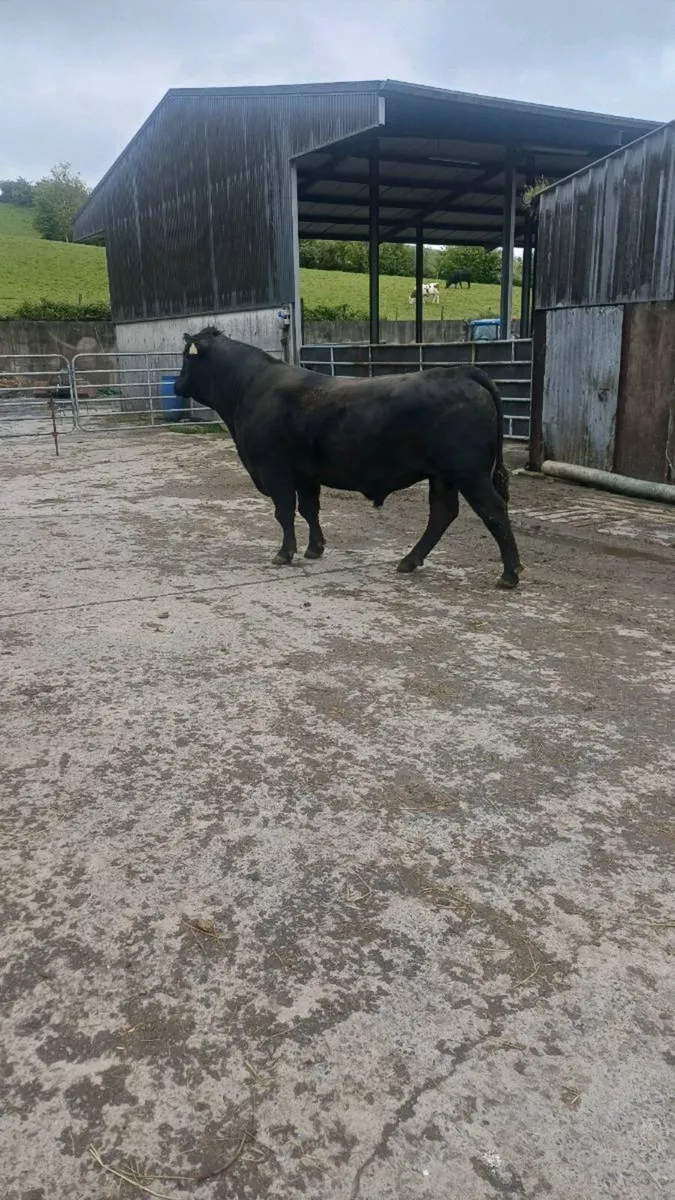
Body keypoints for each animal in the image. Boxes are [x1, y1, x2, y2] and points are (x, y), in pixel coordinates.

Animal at [174, 328, 523, 589]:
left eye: (186, 359)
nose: (176, 385)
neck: (250, 387)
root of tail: (461, 371)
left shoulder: (275, 470)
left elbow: (284, 512)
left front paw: (285, 553)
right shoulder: (305, 474)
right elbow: (309, 510)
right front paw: (315, 548)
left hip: (469, 473)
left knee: (492, 510)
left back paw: (509, 573)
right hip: (443, 476)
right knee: (442, 513)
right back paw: (409, 560)